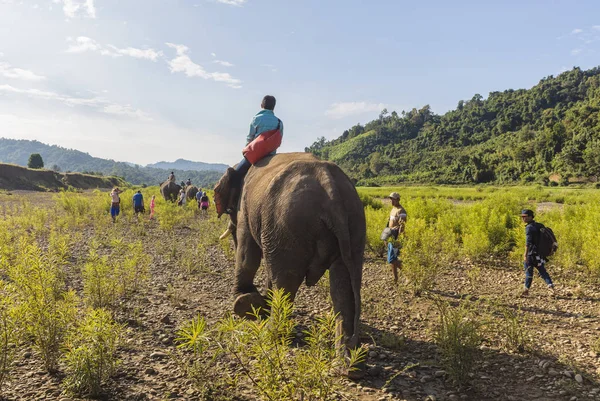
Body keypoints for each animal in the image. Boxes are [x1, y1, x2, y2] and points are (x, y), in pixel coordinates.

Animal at [216, 153, 366, 368]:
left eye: (229, 210)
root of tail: (332, 188)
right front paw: (259, 301)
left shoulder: (245, 207)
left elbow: (248, 253)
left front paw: (246, 302)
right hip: (354, 224)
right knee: (343, 286)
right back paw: (347, 362)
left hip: (286, 226)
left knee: (287, 279)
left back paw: (271, 334)